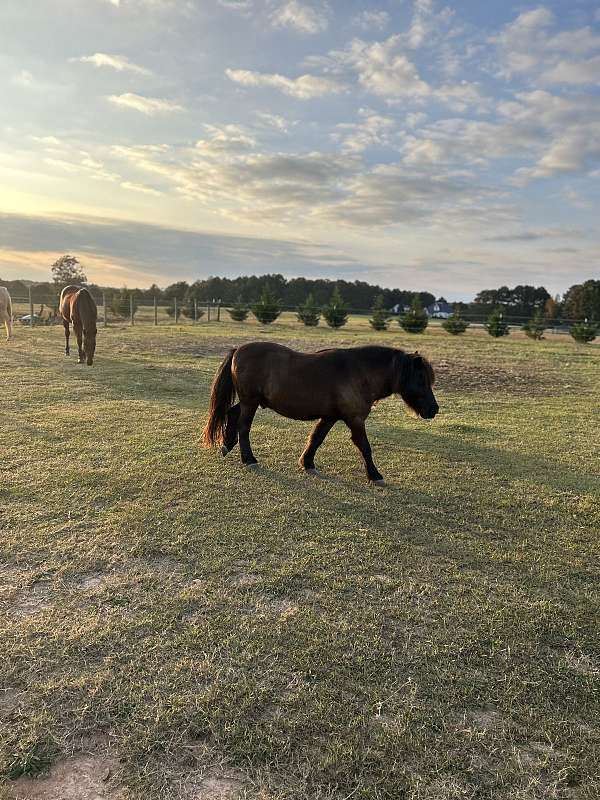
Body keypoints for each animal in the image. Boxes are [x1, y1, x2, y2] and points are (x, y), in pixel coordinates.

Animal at [204, 342, 438, 484]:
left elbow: (316, 438)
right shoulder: (355, 419)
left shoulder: (330, 417)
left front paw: (307, 463)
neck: (360, 373)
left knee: (232, 414)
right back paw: (248, 459)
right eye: (421, 379)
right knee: (244, 427)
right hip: (250, 402)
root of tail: (238, 350)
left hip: (249, 402)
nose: (434, 410)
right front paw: (374, 475)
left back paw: (227, 445)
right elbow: (365, 447)